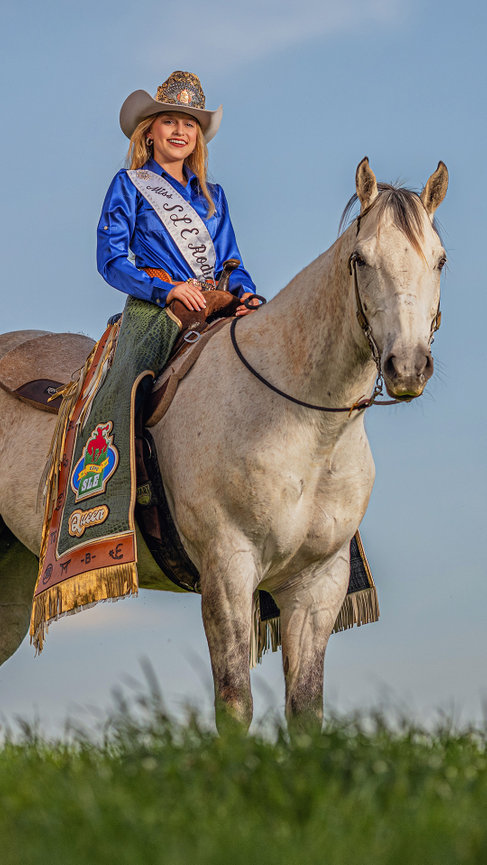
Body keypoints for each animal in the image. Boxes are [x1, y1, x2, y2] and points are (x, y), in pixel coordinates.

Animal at [0, 158, 448, 731]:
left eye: (440, 260)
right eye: (360, 259)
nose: (407, 366)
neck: (301, 425)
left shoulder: (316, 585)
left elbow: (306, 709)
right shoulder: (228, 570)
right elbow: (235, 702)